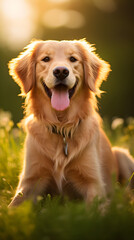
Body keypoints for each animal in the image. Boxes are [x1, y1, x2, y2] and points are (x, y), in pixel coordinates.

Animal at [8, 39, 134, 206]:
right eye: (46, 59)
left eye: (73, 59)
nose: (61, 71)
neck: (62, 127)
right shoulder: (29, 180)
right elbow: (13, 206)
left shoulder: (93, 182)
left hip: (122, 155)